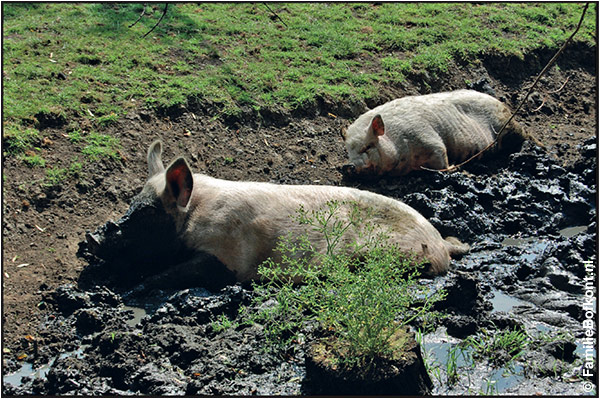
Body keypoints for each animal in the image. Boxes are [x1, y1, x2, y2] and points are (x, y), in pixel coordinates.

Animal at [130, 141, 468, 282]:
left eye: (145, 217)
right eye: (131, 207)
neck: (195, 214)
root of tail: (441, 244)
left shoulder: (227, 253)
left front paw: (143, 284)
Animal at [342, 90, 528, 176]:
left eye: (367, 146)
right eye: (348, 152)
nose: (348, 166)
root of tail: (501, 103)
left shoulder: (428, 139)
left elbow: (442, 157)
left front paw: (454, 167)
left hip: (507, 124)